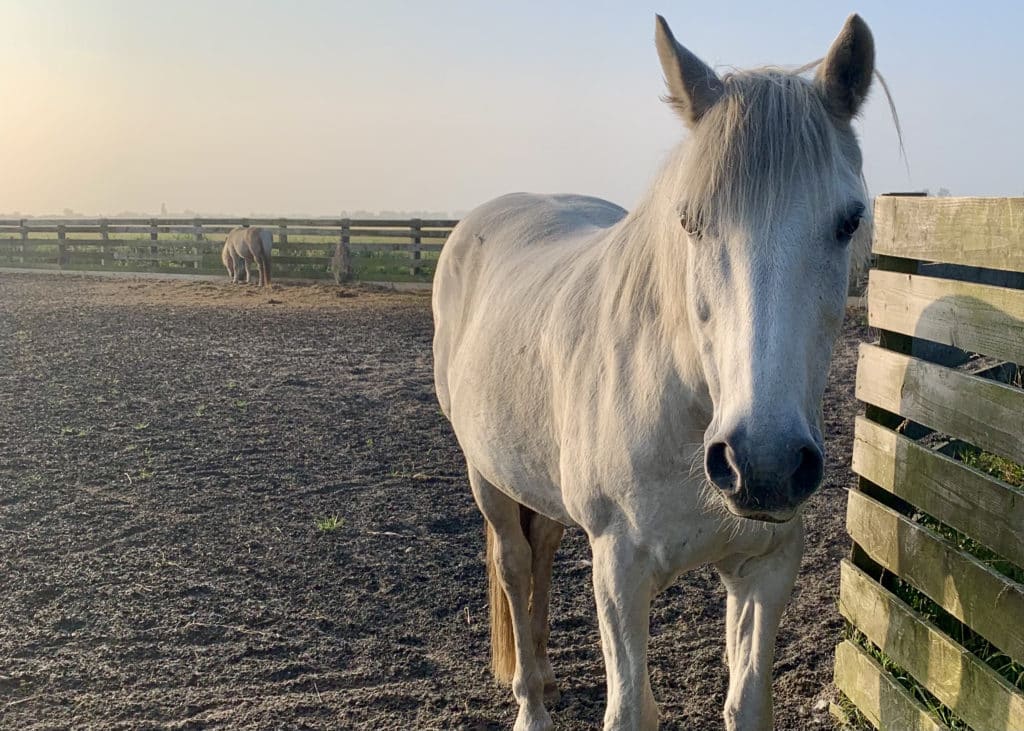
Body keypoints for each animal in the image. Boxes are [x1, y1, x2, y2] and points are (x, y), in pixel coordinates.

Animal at [432, 12, 874, 731]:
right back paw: (531, 702)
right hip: (486, 475)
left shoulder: (766, 567)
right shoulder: (620, 571)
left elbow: (747, 702)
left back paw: (547, 676)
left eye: (848, 220)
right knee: (516, 565)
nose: (765, 464)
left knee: (543, 544)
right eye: (689, 220)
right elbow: (631, 708)